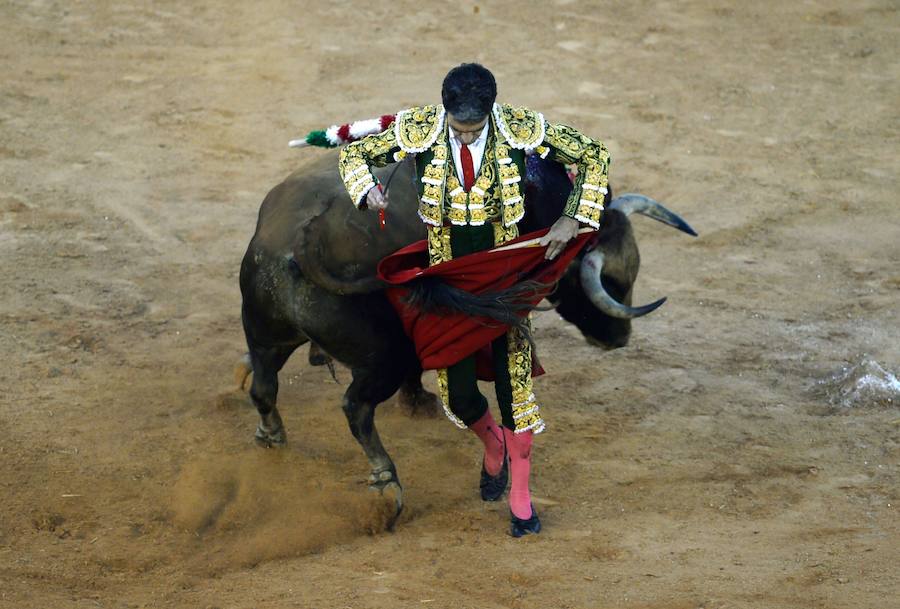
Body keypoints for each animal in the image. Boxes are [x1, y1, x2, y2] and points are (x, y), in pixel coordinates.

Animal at [237, 152, 696, 516]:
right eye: (612, 281)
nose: (619, 338)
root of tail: (300, 239)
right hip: (381, 358)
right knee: (356, 408)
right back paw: (386, 482)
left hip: (264, 333)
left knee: (263, 387)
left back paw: (270, 435)